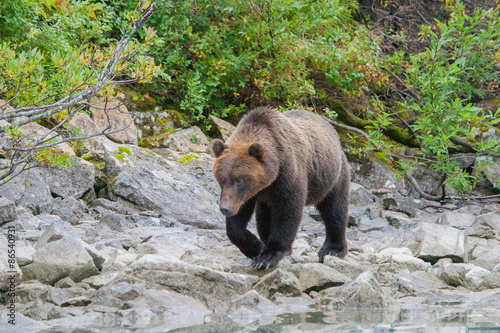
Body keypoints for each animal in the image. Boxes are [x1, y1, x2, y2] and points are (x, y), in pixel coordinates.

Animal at [210, 107, 348, 268]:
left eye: (239, 180)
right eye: (222, 179)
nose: (224, 208)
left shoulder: (288, 176)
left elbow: (287, 212)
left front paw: (268, 256)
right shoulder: (249, 194)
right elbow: (237, 223)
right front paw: (256, 248)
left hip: (332, 176)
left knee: (335, 209)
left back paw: (333, 249)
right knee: (263, 217)